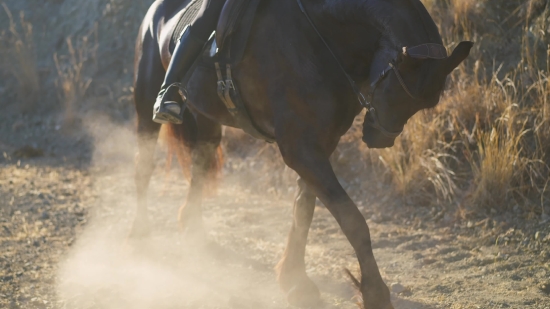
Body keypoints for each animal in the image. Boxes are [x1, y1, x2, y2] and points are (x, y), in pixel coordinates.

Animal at [132, 1, 472, 306]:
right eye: (396, 91)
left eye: (420, 105)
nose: (379, 140)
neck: (320, 34)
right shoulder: (300, 148)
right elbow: (352, 220)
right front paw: (375, 294)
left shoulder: (320, 144)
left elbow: (304, 209)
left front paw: (295, 281)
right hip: (147, 103)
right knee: (144, 166)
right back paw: (141, 233)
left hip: (207, 119)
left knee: (200, 165)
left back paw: (193, 231)